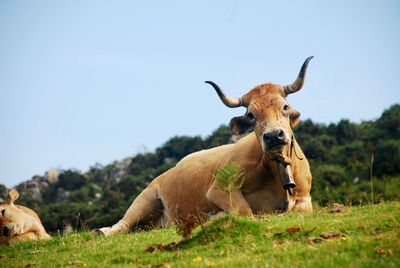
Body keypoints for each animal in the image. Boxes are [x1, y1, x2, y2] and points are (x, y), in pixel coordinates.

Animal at [95, 57, 314, 237]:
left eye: (285, 107)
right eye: (251, 115)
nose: (273, 135)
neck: (277, 173)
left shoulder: (305, 198)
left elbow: (300, 210)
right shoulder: (220, 188)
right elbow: (244, 211)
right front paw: (215, 217)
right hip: (145, 199)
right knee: (122, 224)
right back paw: (102, 231)